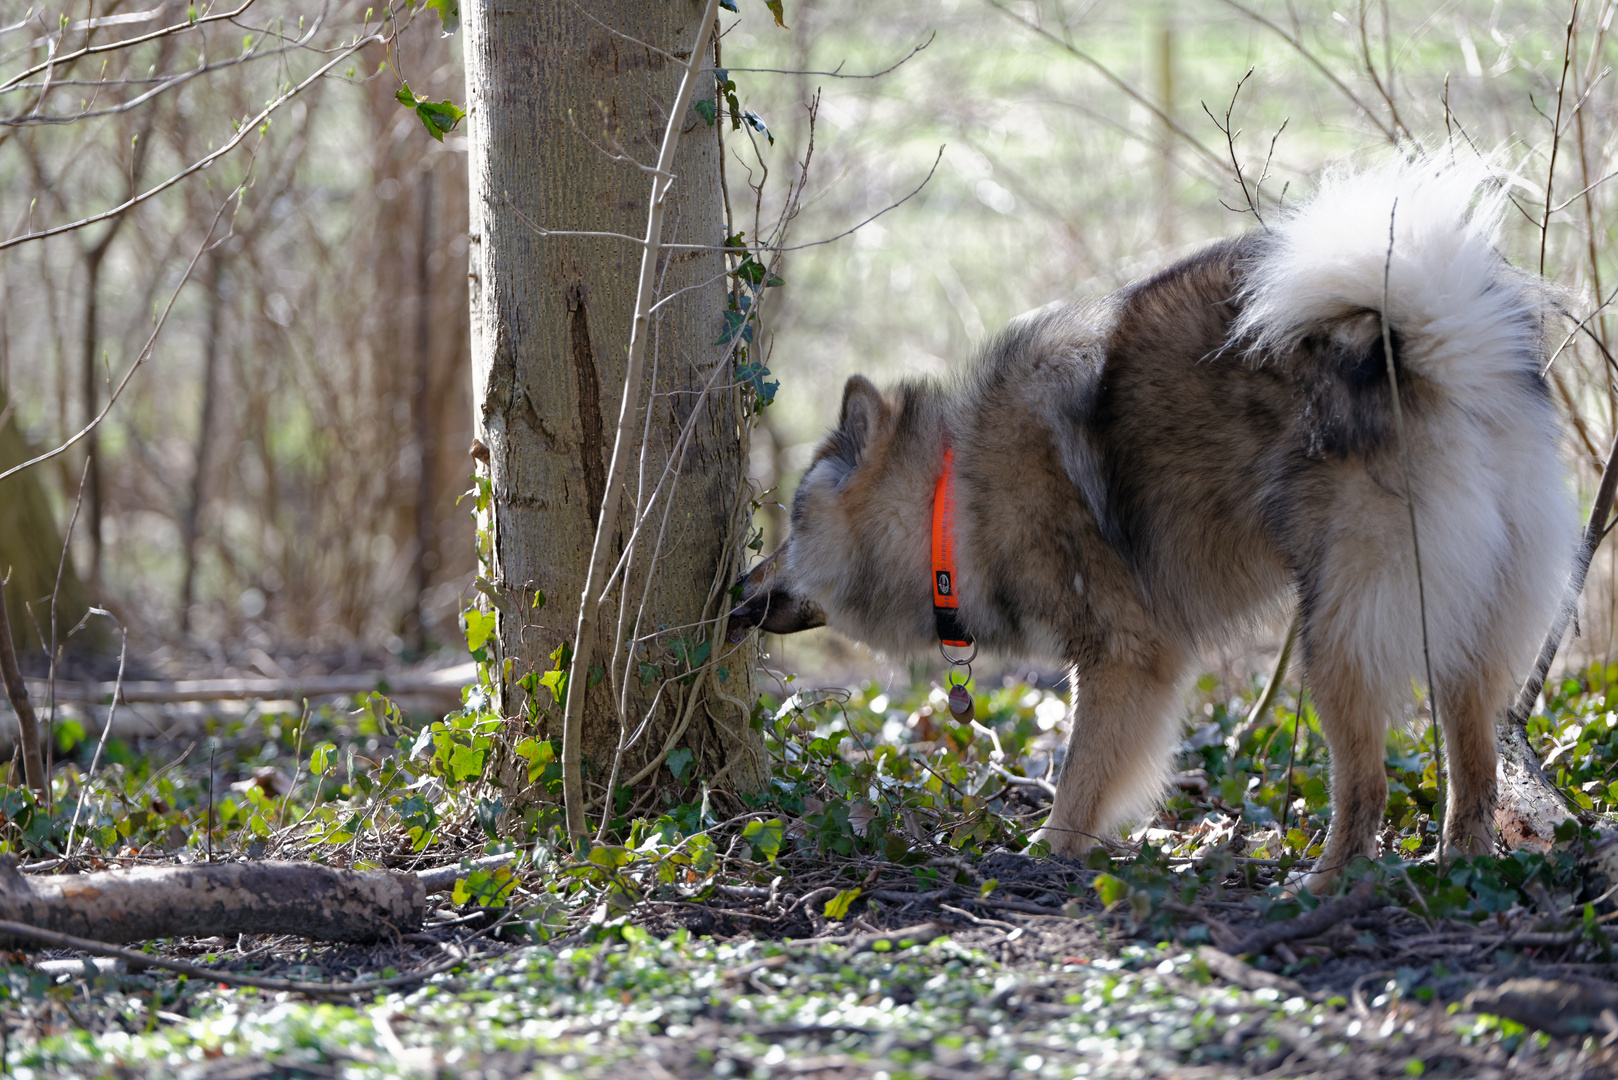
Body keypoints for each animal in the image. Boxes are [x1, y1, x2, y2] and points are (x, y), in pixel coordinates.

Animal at [728, 160, 1572, 887]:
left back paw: (1328, 878)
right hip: (1467, 626)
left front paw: (1049, 849)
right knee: (1473, 763)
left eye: (791, 528)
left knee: (1363, 785)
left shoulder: (1125, 656)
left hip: (1336, 635)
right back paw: (1458, 859)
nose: (738, 587)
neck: (949, 499)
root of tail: (1434, 346)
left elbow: (1081, 770)